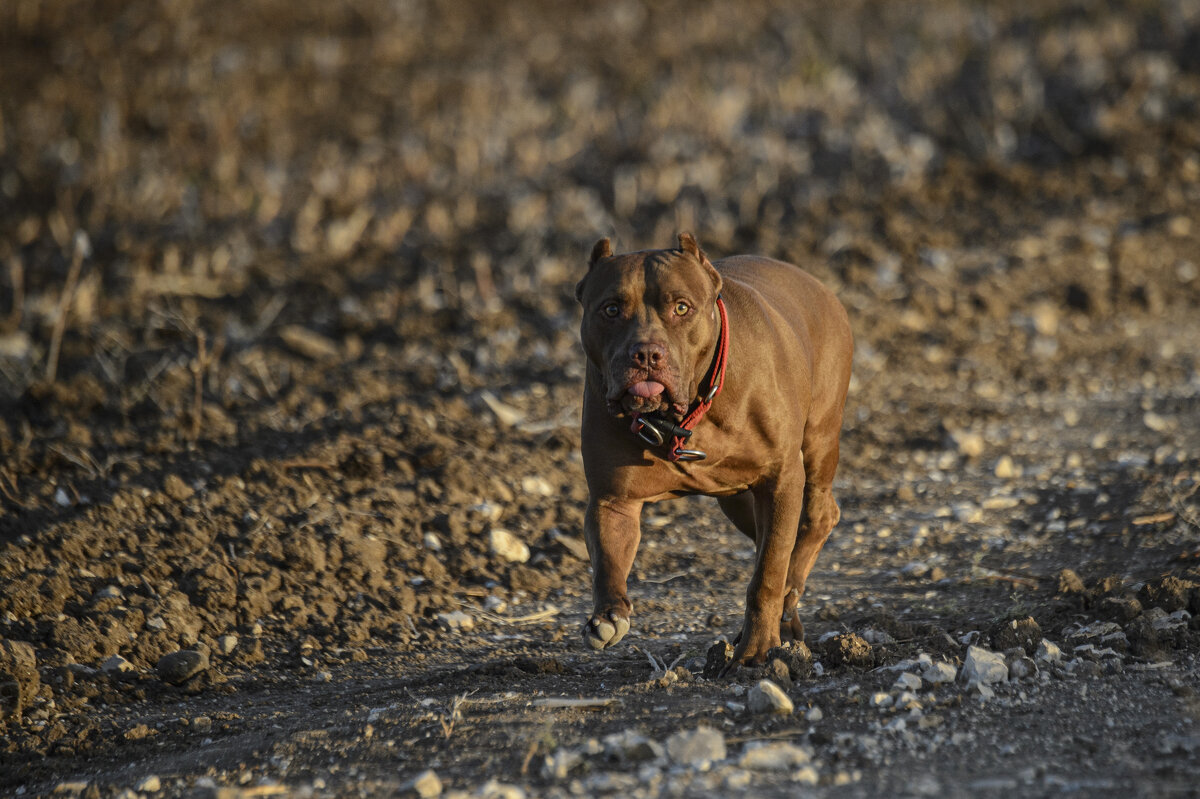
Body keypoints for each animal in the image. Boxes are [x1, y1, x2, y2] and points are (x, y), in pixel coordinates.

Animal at [573, 231, 849, 667]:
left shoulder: (783, 479)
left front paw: (757, 649)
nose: (646, 353)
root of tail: (818, 284)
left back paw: (786, 604)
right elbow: (608, 560)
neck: (682, 416)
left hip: (820, 440)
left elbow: (768, 574)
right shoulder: (612, 500)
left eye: (681, 307)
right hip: (737, 499)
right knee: (768, 537)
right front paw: (608, 616)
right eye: (611, 309)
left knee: (817, 518)